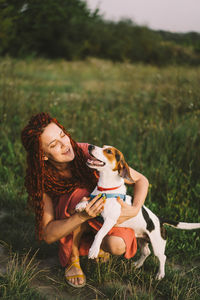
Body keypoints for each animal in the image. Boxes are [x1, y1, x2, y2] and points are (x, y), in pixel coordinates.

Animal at [75, 144, 200, 280]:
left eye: (108, 151)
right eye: (103, 147)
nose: (90, 146)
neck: (105, 190)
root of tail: (159, 219)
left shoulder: (110, 220)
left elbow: (99, 233)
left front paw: (93, 250)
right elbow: (88, 199)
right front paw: (81, 204)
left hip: (157, 244)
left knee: (162, 257)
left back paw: (160, 274)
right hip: (141, 239)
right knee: (146, 252)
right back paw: (137, 264)